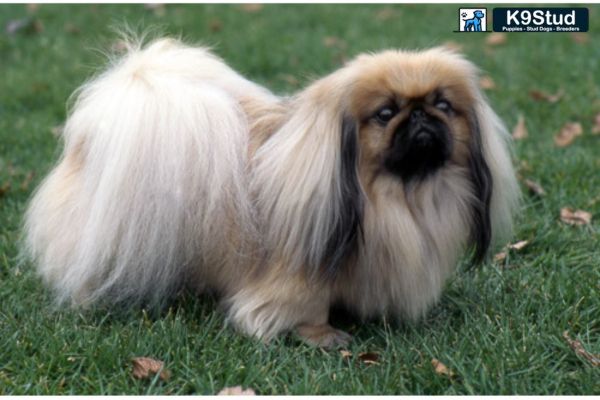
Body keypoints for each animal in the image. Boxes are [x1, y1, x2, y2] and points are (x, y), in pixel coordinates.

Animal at [24, 39, 520, 348]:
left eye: (442, 105)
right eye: (385, 114)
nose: (419, 117)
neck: (398, 197)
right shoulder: (298, 274)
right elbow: (306, 308)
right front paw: (322, 336)